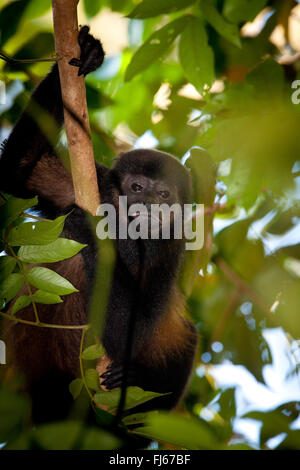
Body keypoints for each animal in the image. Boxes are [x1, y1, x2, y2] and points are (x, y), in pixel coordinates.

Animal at [0, 24, 198, 422]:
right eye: (136, 187)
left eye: (163, 195)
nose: (148, 206)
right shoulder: (91, 180)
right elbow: (16, 171)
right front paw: (88, 53)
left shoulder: (171, 247)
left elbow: (128, 335)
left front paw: (92, 232)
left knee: (187, 335)